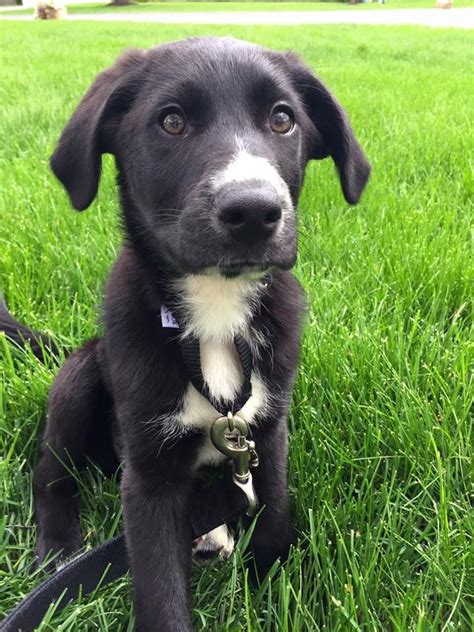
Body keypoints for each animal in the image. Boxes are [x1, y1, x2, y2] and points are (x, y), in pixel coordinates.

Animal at [0, 39, 370, 632]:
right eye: (171, 121)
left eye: (282, 119)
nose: (254, 211)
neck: (215, 315)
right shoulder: (147, 476)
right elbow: (160, 587)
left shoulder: (267, 431)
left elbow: (273, 514)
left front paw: (271, 586)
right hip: (79, 379)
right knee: (49, 472)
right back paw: (58, 545)